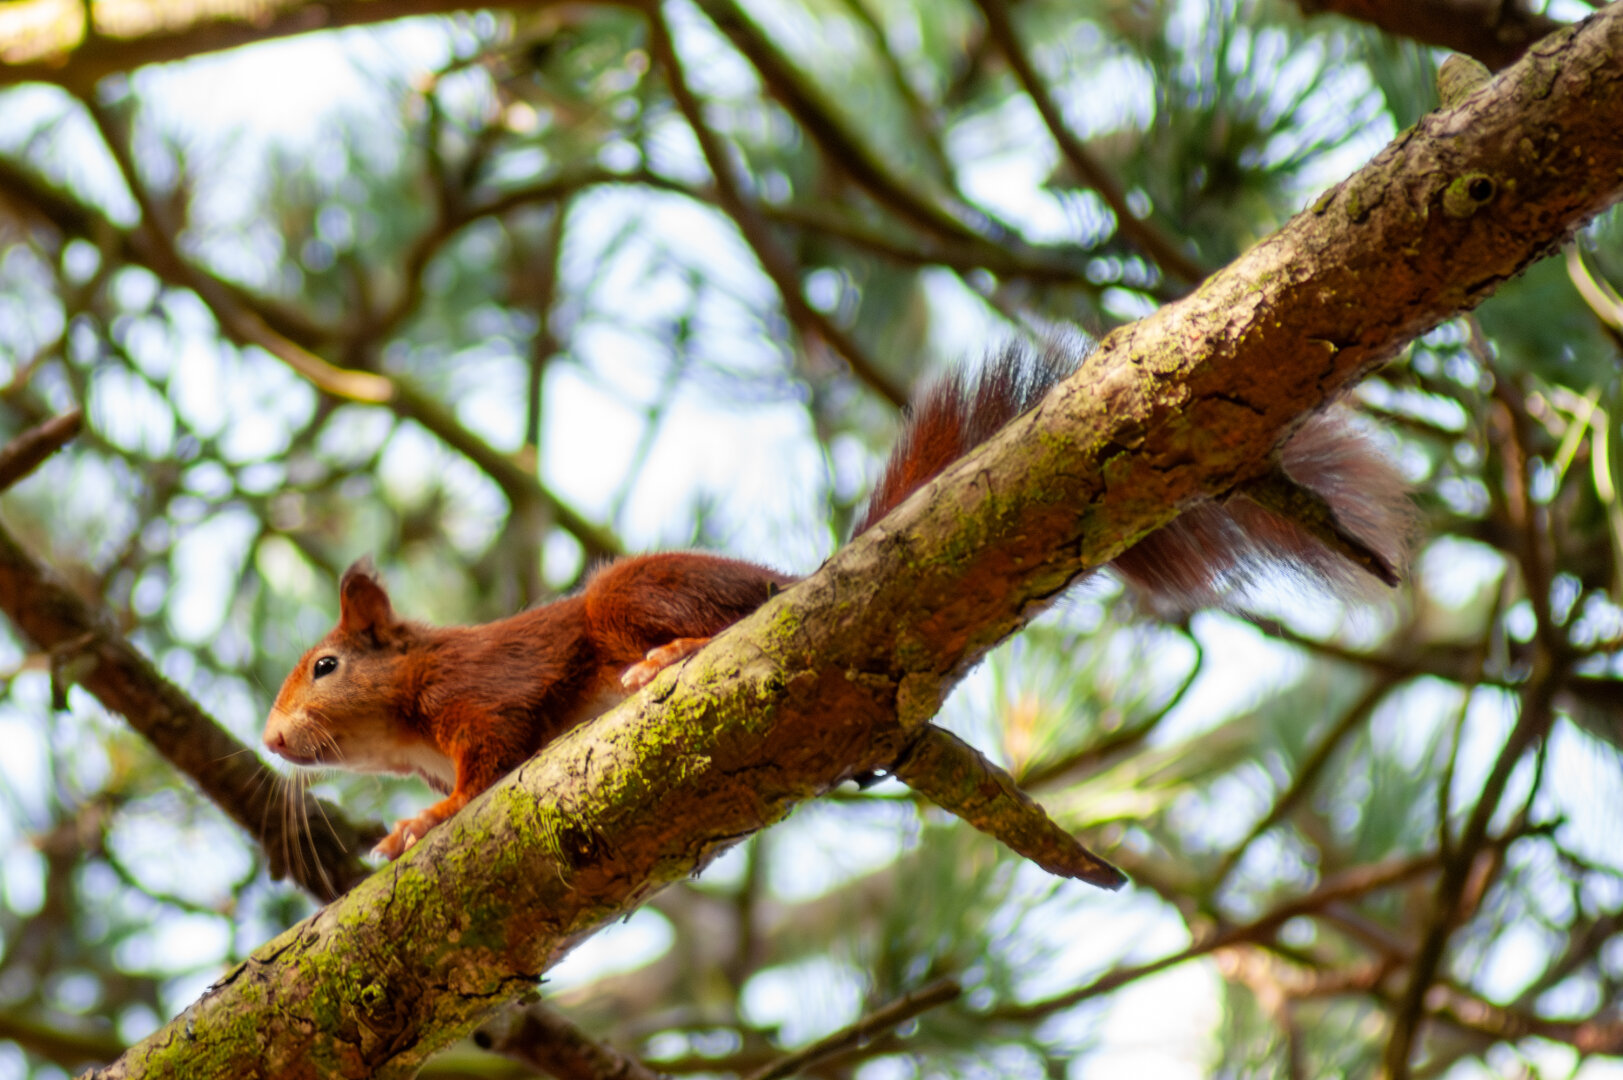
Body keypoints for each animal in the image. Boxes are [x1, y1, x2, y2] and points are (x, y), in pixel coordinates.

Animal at [262, 345, 1411, 860]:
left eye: (324, 663)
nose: (271, 739)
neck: (405, 707)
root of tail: (799, 587)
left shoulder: (481, 687)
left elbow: (492, 754)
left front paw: (426, 820)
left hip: (629, 596)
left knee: (700, 624)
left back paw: (671, 660)